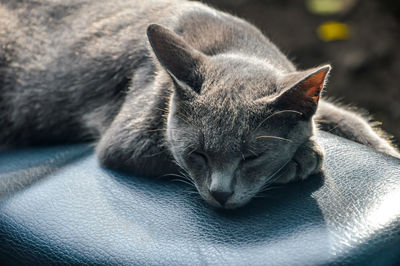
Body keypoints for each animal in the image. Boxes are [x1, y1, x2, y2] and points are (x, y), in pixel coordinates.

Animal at [0, 0, 398, 208]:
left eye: (251, 156)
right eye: (198, 154)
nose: (220, 194)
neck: (231, 44)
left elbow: (347, 119)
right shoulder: (126, 139)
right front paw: (302, 158)